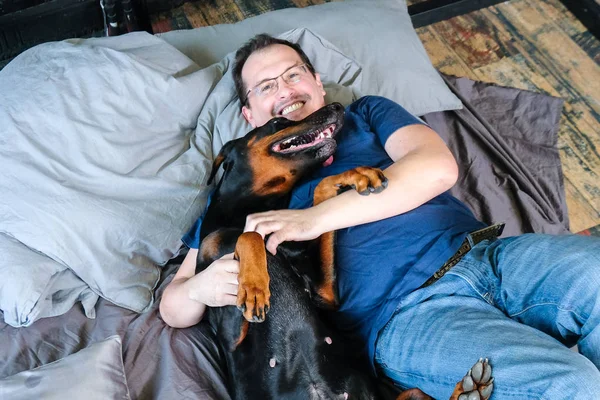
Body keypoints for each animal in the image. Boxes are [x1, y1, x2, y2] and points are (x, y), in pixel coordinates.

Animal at [195, 104, 494, 400]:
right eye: (277, 121)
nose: (337, 107)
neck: (251, 209)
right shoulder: (230, 335)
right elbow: (248, 234)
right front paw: (255, 287)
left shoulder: (324, 294)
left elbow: (317, 191)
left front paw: (356, 175)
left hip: (406, 393)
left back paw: (470, 389)